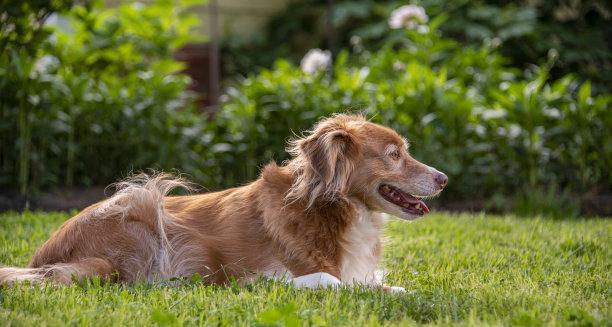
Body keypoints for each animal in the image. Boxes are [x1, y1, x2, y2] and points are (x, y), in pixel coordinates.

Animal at [1, 114, 450, 292]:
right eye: (394, 155)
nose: (444, 178)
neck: (333, 210)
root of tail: (44, 255)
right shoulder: (257, 276)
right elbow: (330, 280)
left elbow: (384, 285)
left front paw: (395, 291)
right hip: (142, 201)